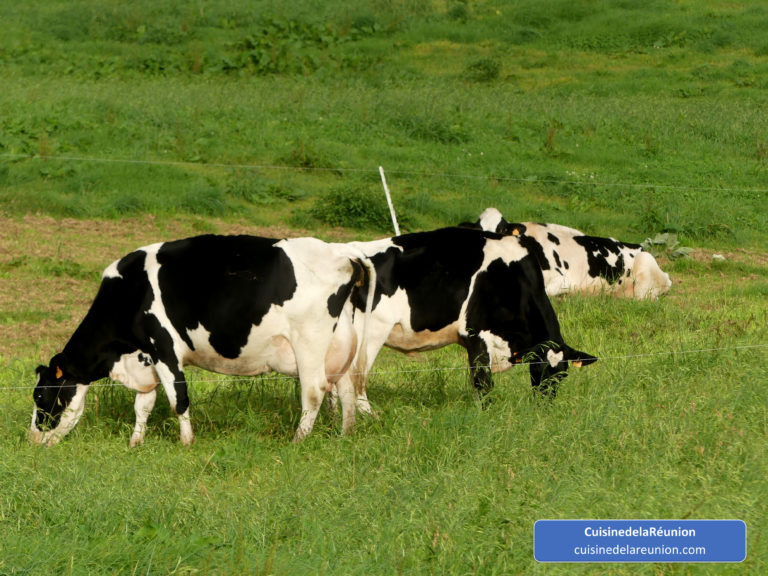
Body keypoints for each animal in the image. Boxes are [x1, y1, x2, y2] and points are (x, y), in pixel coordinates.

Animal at [30, 234, 375, 447]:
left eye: (39, 396)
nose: (32, 437)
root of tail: (342, 252)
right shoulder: (147, 358)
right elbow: (143, 404)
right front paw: (135, 441)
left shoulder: (164, 347)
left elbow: (178, 399)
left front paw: (186, 441)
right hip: (343, 346)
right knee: (346, 390)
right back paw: (345, 435)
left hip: (310, 342)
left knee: (314, 391)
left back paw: (297, 440)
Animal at [330, 226, 598, 415]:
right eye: (538, 369)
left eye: (562, 375)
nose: (544, 405)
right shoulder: (478, 335)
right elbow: (483, 383)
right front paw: (487, 416)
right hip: (369, 333)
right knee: (353, 378)